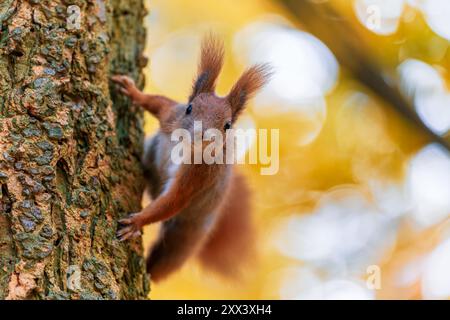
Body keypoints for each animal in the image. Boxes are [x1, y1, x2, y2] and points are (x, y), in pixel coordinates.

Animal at [112, 33, 270, 282]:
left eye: (227, 125)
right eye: (189, 108)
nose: (201, 133)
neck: (185, 147)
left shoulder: (199, 172)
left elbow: (174, 199)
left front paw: (136, 222)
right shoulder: (171, 115)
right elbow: (157, 102)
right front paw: (133, 91)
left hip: (186, 234)